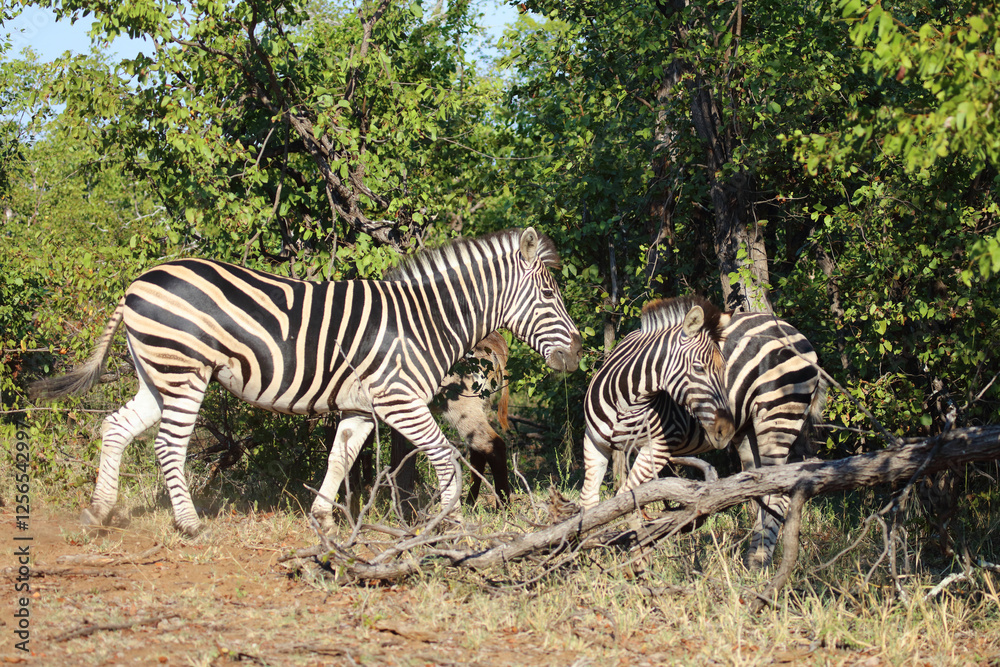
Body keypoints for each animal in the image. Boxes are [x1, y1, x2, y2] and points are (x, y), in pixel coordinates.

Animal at [30, 227, 582, 535]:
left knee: (116, 427)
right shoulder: (400, 401)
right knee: (168, 445)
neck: (425, 320)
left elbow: (339, 458)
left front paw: (321, 520)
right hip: (185, 372)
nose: (577, 353)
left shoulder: (362, 406)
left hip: (156, 373)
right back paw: (188, 525)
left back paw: (98, 513)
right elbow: (445, 458)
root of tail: (136, 284)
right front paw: (450, 527)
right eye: (549, 294)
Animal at [585, 311, 827, 568]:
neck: (626, 403)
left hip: (778, 414)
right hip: (748, 432)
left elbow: (626, 500)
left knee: (777, 494)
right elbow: (589, 504)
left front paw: (639, 560)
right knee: (760, 487)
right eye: (699, 368)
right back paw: (750, 559)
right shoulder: (593, 443)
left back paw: (759, 561)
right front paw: (583, 554)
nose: (724, 428)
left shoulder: (658, 446)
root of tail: (794, 331)